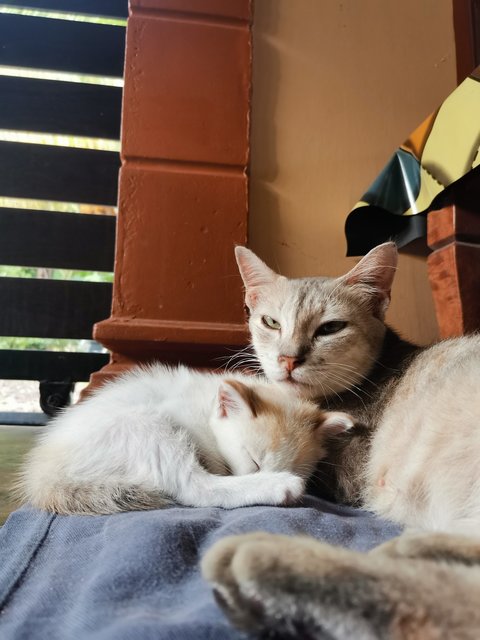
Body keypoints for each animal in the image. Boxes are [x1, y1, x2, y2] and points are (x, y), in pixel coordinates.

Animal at [17, 364, 352, 516]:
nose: (270, 474)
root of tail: (45, 471)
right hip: (145, 425)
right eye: (253, 460)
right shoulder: (177, 412)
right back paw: (279, 489)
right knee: (194, 488)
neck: (208, 404)